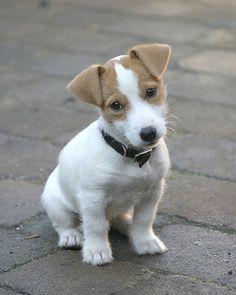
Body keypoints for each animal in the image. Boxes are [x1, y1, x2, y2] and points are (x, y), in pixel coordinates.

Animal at [42, 43, 171, 266]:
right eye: (116, 105)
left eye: (151, 91)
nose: (148, 133)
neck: (131, 156)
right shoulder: (93, 197)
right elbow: (96, 226)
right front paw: (97, 251)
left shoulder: (153, 191)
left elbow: (144, 220)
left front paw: (145, 242)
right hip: (55, 204)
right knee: (65, 224)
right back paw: (71, 237)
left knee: (118, 219)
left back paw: (127, 226)